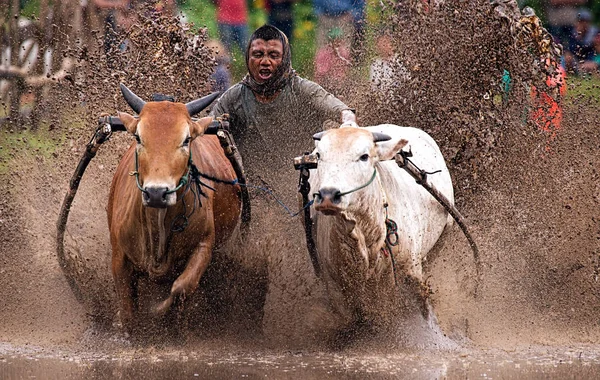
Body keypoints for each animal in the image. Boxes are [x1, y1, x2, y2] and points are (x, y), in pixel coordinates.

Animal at [106, 84, 240, 332]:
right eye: (139, 137)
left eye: (186, 140)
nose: (157, 193)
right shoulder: (119, 257)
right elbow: (128, 312)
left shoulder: (204, 246)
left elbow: (181, 287)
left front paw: (161, 312)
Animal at [310, 124, 454, 330]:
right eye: (319, 155)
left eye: (364, 156)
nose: (328, 195)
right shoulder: (336, 286)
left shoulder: (412, 271)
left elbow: (423, 306)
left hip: (446, 230)